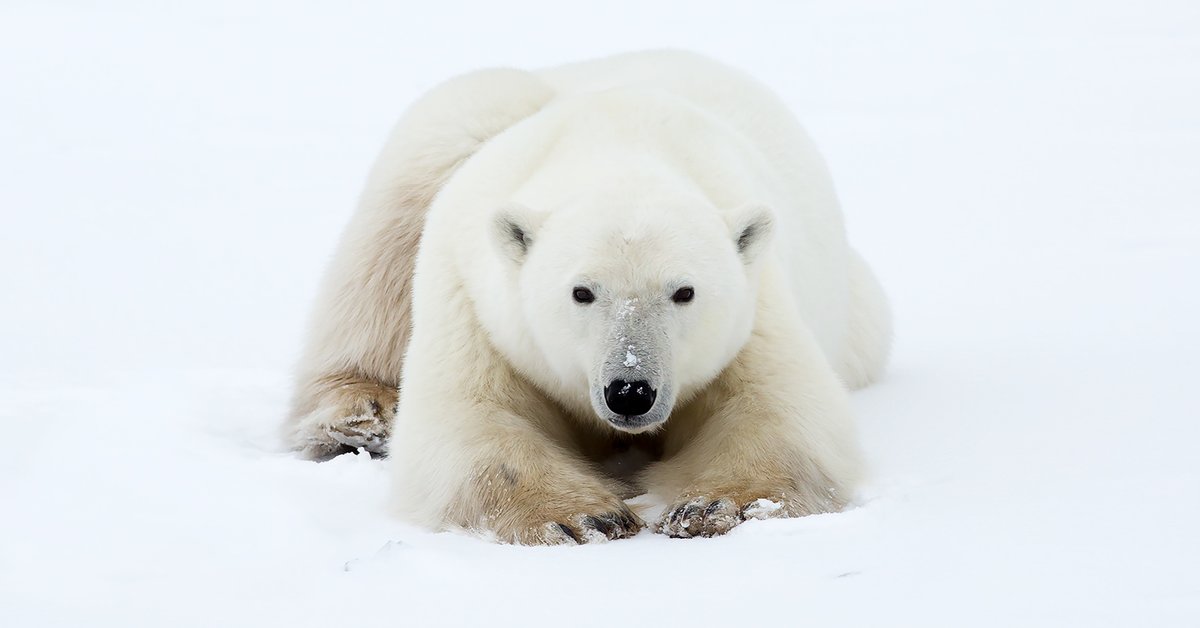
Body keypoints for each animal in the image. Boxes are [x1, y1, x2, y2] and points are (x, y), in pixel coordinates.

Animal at [286, 50, 892, 544]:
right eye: (582, 292)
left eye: (684, 292)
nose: (631, 391)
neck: (614, 141)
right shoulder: (475, 298)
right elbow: (472, 421)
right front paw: (582, 517)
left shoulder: (757, 305)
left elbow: (778, 412)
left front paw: (713, 506)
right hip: (457, 126)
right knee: (383, 247)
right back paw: (361, 414)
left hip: (859, 315)